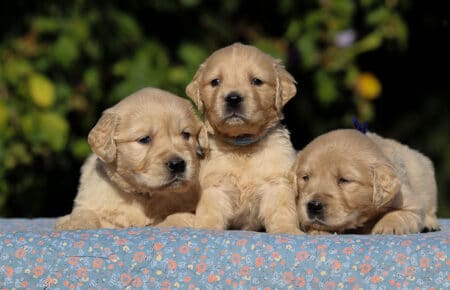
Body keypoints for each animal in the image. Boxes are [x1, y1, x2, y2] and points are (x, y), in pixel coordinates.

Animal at [54, 87, 207, 230]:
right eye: (144, 139)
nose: (177, 164)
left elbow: (178, 217)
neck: (142, 196)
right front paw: (74, 224)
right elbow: (84, 213)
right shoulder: (92, 203)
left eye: (186, 135)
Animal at [161, 42, 302, 233]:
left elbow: (282, 210)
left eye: (256, 81)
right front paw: (206, 228)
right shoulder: (215, 185)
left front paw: (287, 229)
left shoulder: (276, 183)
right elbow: (211, 211)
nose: (233, 98)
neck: (242, 145)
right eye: (215, 82)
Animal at [292, 130, 440, 234]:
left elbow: (399, 214)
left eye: (344, 180)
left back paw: (430, 223)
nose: (313, 206)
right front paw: (316, 229)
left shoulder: (410, 203)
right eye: (305, 177)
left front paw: (387, 226)